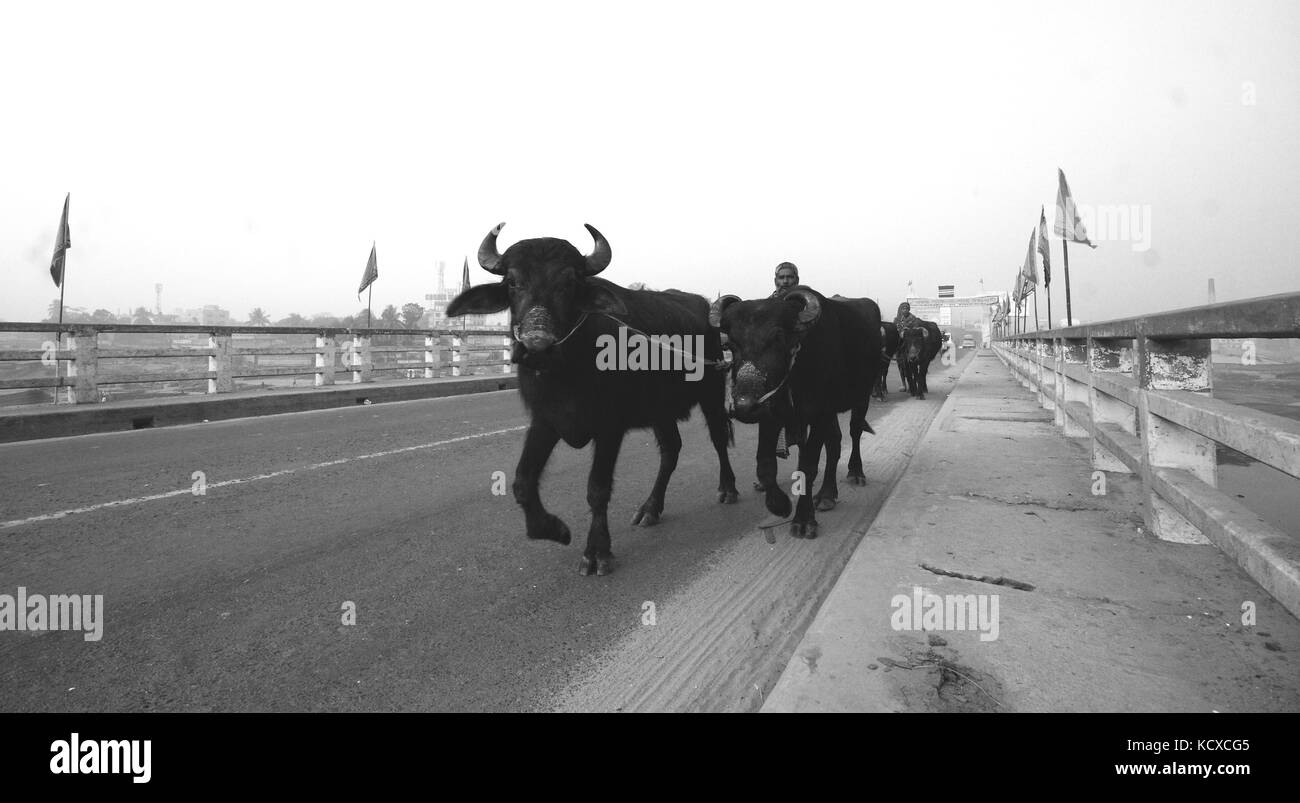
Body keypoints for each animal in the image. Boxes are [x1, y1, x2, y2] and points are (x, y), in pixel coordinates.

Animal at [447, 224, 738, 571]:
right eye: (513, 282)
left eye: (569, 283)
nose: (536, 346)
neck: (565, 372)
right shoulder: (546, 421)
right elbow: (522, 481)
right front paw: (555, 530)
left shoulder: (609, 427)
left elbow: (597, 488)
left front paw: (597, 551)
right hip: (660, 410)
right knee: (671, 450)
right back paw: (651, 508)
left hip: (712, 391)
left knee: (719, 438)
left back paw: (728, 489)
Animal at [712, 284, 883, 535]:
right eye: (729, 345)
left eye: (778, 338)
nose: (744, 405)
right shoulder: (771, 415)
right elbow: (765, 464)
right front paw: (780, 505)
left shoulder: (820, 412)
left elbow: (809, 465)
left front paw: (803, 519)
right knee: (834, 443)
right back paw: (827, 494)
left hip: (862, 396)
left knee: (854, 431)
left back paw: (855, 472)